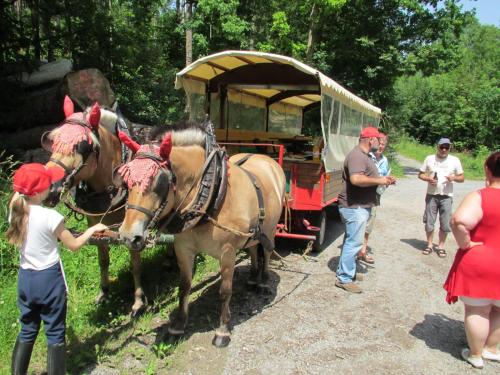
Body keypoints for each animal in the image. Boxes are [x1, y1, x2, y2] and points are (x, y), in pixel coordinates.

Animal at [42, 94, 146, 318]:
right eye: (52, 141)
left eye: (83, 146)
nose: (49, 188)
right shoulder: (94, 221)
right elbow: (102, 259)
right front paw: (104, 292)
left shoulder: (132, 225)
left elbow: (135, 263)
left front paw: (138, 301)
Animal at [114, 125, 286, 348]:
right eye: (126, 181)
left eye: (159, 182)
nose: (128, 236)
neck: (211, 195)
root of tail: (267, 159)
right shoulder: (183, 248)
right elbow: (184, 286)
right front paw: (178, 326)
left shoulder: (228, 252)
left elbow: (225, 291)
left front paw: (222, 330)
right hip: (254, 230)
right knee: (253, 247)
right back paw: (252, 279)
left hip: (271, 228)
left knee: (267, 249)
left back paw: (263, 282)